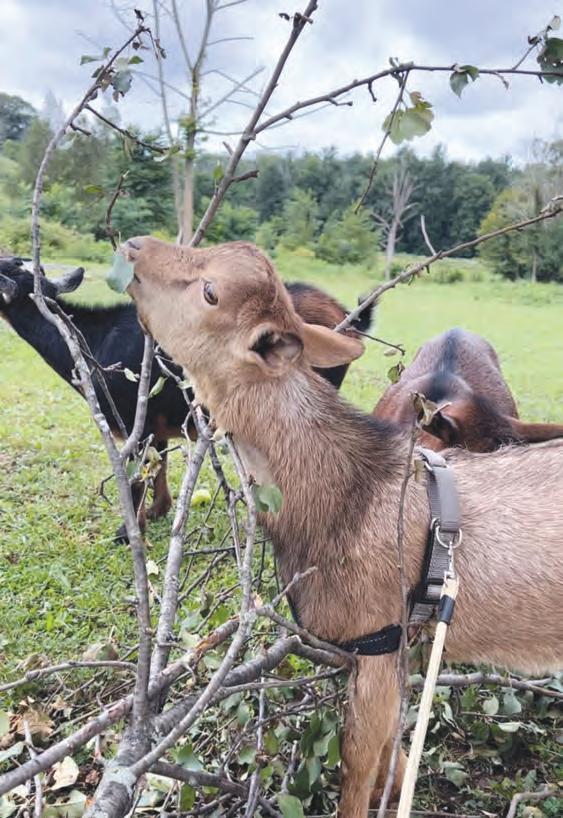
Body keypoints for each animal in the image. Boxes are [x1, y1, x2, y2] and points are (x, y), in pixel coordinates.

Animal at [0, 257, 372, 539]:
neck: (94, 340)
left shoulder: (132, 423)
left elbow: (136, 478)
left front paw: (130, 532)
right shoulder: (155, 422)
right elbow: (159, 466)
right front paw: (158, 510)